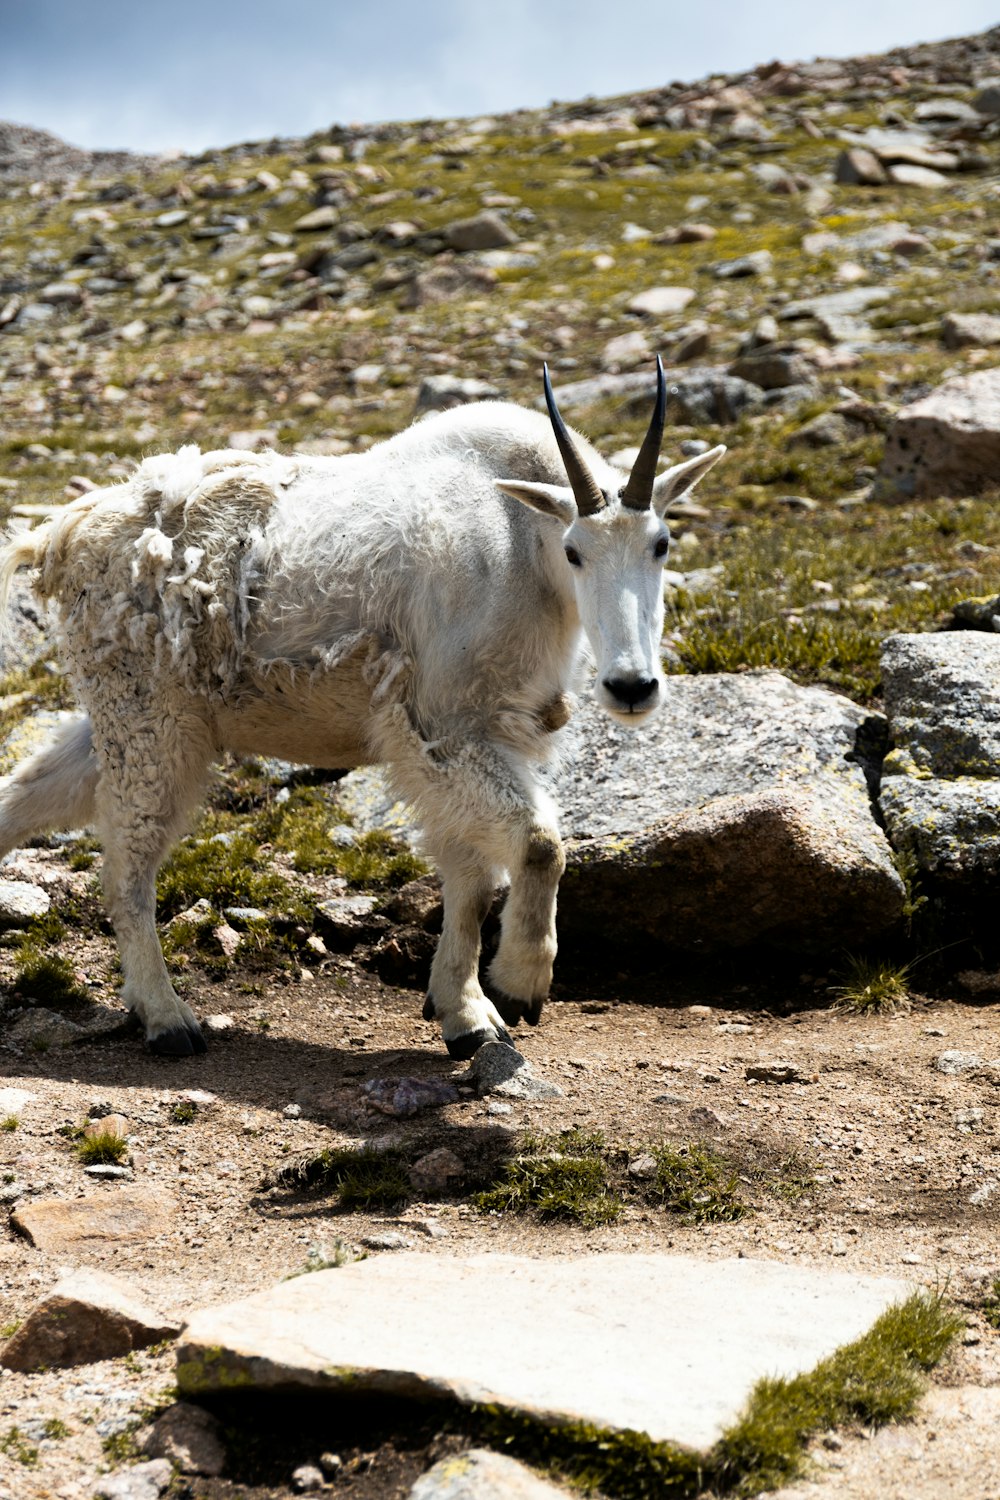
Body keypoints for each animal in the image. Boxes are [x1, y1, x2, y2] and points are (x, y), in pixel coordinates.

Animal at [0, 366, 722, 1056]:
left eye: (662, 544)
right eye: (574, 551)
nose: (631, 686)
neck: (522, 542)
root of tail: (60, 539)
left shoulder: (484, 729)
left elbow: (473, 877)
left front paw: (465, 1015)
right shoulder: (435, 728)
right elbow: (539, 844)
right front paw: (517, 987)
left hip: (126, 713)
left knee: (33, 793)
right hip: (152, 718)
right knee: (129, 865)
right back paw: (166, 1017)